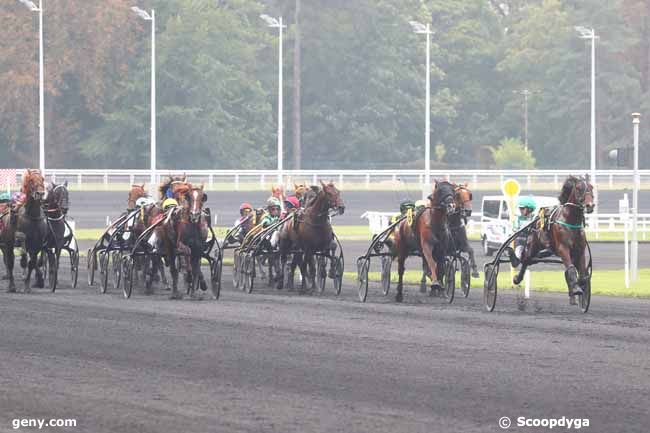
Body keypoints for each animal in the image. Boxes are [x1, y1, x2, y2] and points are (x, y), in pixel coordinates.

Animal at [512, 174, 592, 302]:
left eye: (592, 187)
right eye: (579, 188)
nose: (590, 205)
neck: (570, 221)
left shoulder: (580, 250)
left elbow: (582, 274)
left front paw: (579, 288)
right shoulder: (563, 248)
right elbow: (571, 268)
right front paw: (576, 289)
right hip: (533, 245)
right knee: (526, 260)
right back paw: (517, 278)